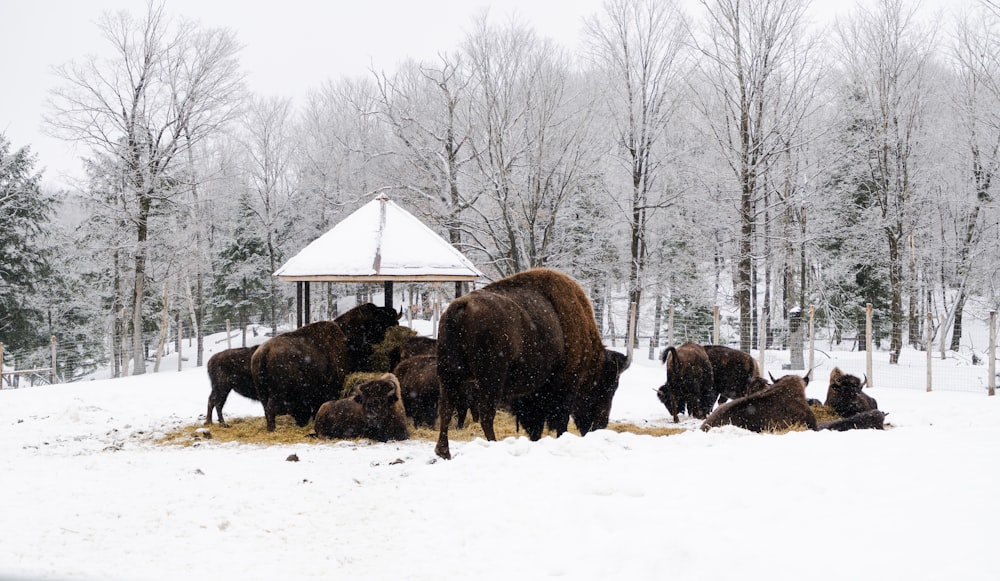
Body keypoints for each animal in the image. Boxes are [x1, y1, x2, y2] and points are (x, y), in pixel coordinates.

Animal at [436, 268, 628, 458]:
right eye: (608, 386)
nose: (601, 424)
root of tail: (462, 306)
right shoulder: (565, 386)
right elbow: (560, 420)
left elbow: (535, 424)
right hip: (489, 381)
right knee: (486, 414)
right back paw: (493, 445)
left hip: (449, 375)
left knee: (446, 409)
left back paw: (443, 452)